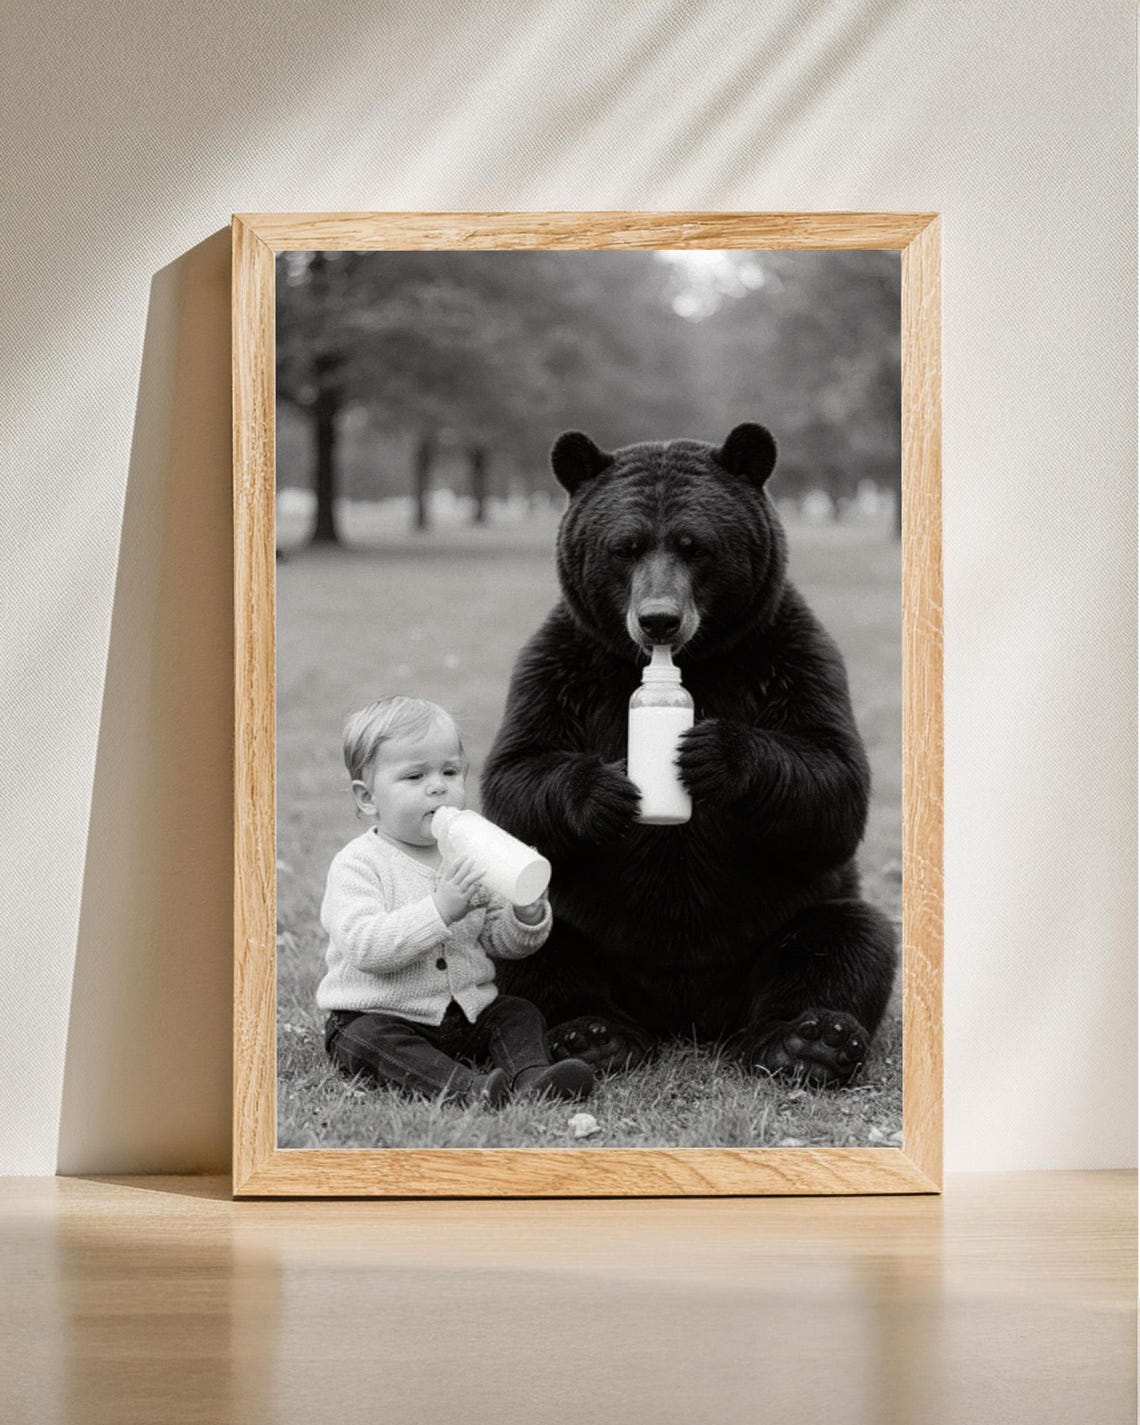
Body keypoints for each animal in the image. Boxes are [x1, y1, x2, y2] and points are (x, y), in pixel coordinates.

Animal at [480, 423, 896, 1086]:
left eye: (694, 545)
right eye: (624, 547)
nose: (658, 620)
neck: (690, 663)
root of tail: (685, 1020)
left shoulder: (787, 656)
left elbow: (832, 779)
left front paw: (714, 753)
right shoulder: (564, 667)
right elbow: (519, 775)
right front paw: (607, 790)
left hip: (781, 921)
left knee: (846, 940)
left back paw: (807, 1041)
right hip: (576, 921)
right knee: (527, 948)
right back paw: (593, 1035)